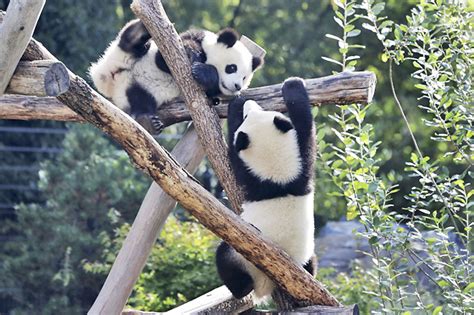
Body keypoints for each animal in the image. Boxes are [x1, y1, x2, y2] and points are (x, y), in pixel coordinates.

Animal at [89, 18, 264, 132]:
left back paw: (148, 122)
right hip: (126, 55)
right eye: (232, 68)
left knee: (140, 100)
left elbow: (210, 91)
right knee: (129, 43)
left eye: (244, 78)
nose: (237, 86)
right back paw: (139, 30)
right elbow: (163, 60)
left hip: (135, 90)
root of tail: (111, 78)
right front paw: (192, 54)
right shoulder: (185, 40)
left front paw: (204, 73)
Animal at [217, 77, 316, 302]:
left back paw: (242, 288)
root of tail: (266, 284)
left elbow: (233, 158)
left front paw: (235, 104)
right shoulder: (302, 164)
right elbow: (305, 125)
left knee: (224, 256)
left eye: (247, 116)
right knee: (311, 262)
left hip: (243, 255)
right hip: (306, 252)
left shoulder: (250, 176)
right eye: (254, 112)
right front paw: (294, 87)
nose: (249, 103)